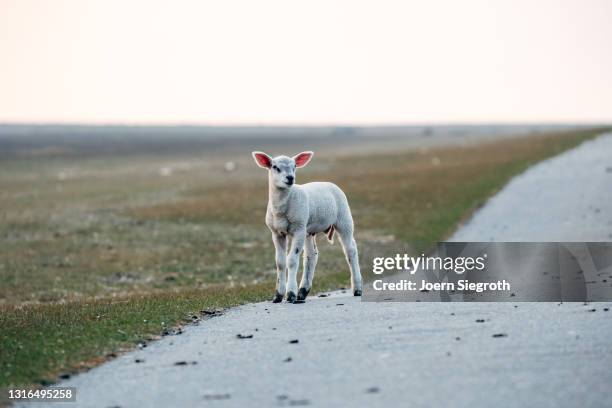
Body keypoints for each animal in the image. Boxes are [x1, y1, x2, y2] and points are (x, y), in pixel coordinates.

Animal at [251, 151, 360, 302]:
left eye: (295, 166)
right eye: (275, 167)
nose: (290, 178)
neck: (281, 208)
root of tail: (329, 183)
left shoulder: (298, 229)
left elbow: (291, 260)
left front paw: (290, 293)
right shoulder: (277, 233)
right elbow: (280, 262)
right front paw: (278, 295)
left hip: (343, 219)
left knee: (351, 250)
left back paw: (357, 288)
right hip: (308, 230)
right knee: (311, 255)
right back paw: (303, 291)